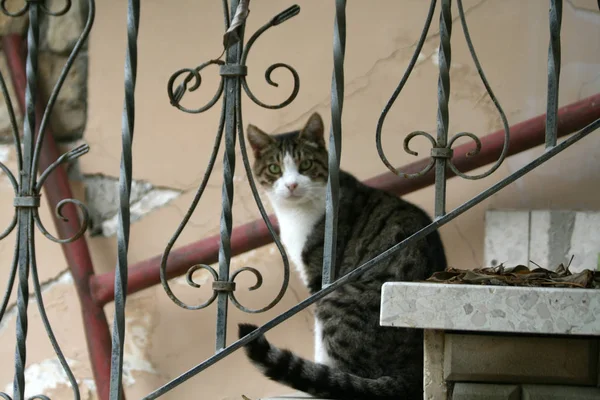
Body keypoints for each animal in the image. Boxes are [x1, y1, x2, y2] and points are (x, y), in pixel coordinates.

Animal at [238, 112, 446, 400]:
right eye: (274, 169)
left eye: (305, 164)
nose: (291, 185)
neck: (295, 214)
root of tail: (412, 372)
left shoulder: (320, 279)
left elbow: (318, 338)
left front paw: (319, 373)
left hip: (338, 299)